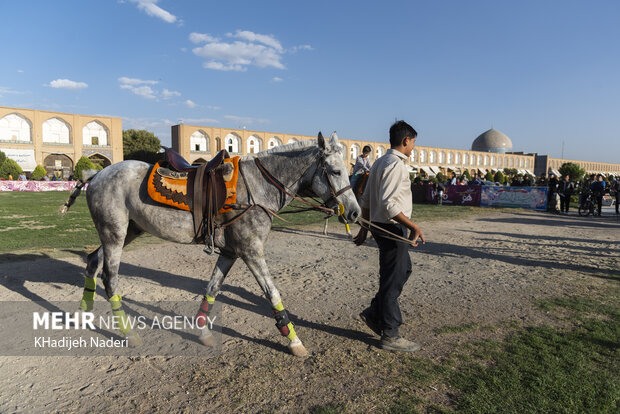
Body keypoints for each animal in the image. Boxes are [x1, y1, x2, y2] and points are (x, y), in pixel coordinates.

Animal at [64, 132, 358, 356]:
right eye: (335, 171)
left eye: (348, 171)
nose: (355, 213)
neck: (257, 188)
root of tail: (95, 175)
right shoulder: (251, 250)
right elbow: (273, 293)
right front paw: (294, 340)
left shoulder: (230, 251)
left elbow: (212, 288)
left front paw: (203, 331)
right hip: (114, 233)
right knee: (110, 279)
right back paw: (129, 334)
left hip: (127, 231)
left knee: (93, 261)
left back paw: (82, 313)